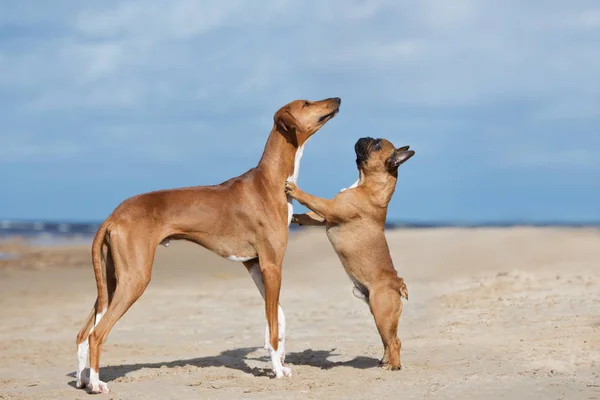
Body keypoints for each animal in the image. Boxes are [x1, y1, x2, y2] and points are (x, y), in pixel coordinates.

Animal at [74, 97, 342, 394]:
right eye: (306, 103)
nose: (338, 99)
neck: (271, 181)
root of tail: (113, 215)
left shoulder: (256, 266)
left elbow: (278, 316)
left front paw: (281, 363)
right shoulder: (272, 265)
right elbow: (273, 325)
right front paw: (276, 370)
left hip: (111, 282)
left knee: (83, 333)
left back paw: (82, 379)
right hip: (134, 279)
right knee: (97, 334)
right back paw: (96, 383)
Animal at [284, 137, 412, 368]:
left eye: (377, 145)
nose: (365, 137)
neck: (367, 184)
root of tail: (398, 283)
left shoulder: (330, 208)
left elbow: (312, 199)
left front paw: (295, 190)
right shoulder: (324, 217)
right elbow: (309, 215)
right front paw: (295, 217)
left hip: (382, 311)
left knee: (394, 341)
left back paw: (393, 366)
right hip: (379, 315)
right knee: (389, 339)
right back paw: (384, 360)